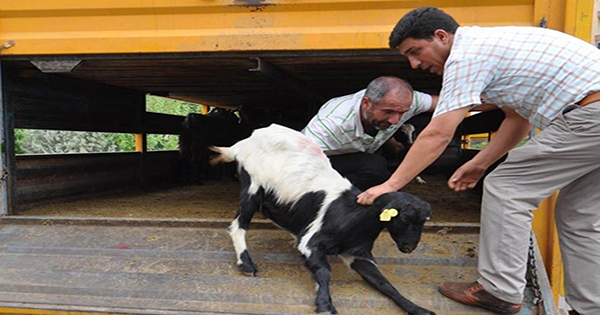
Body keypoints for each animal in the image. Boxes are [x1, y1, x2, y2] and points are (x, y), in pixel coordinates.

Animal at [211, 124, 436, 315]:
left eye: (424, 221)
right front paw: (325, 305)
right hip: (252, 186)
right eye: (405, 217)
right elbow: (324, 271)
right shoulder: (311, 242)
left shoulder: (358, 254)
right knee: (238, 226)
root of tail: (245, 141)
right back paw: (246, 264)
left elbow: (386, 284)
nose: (409, 247)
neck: (352, 215)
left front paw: (417, 308)